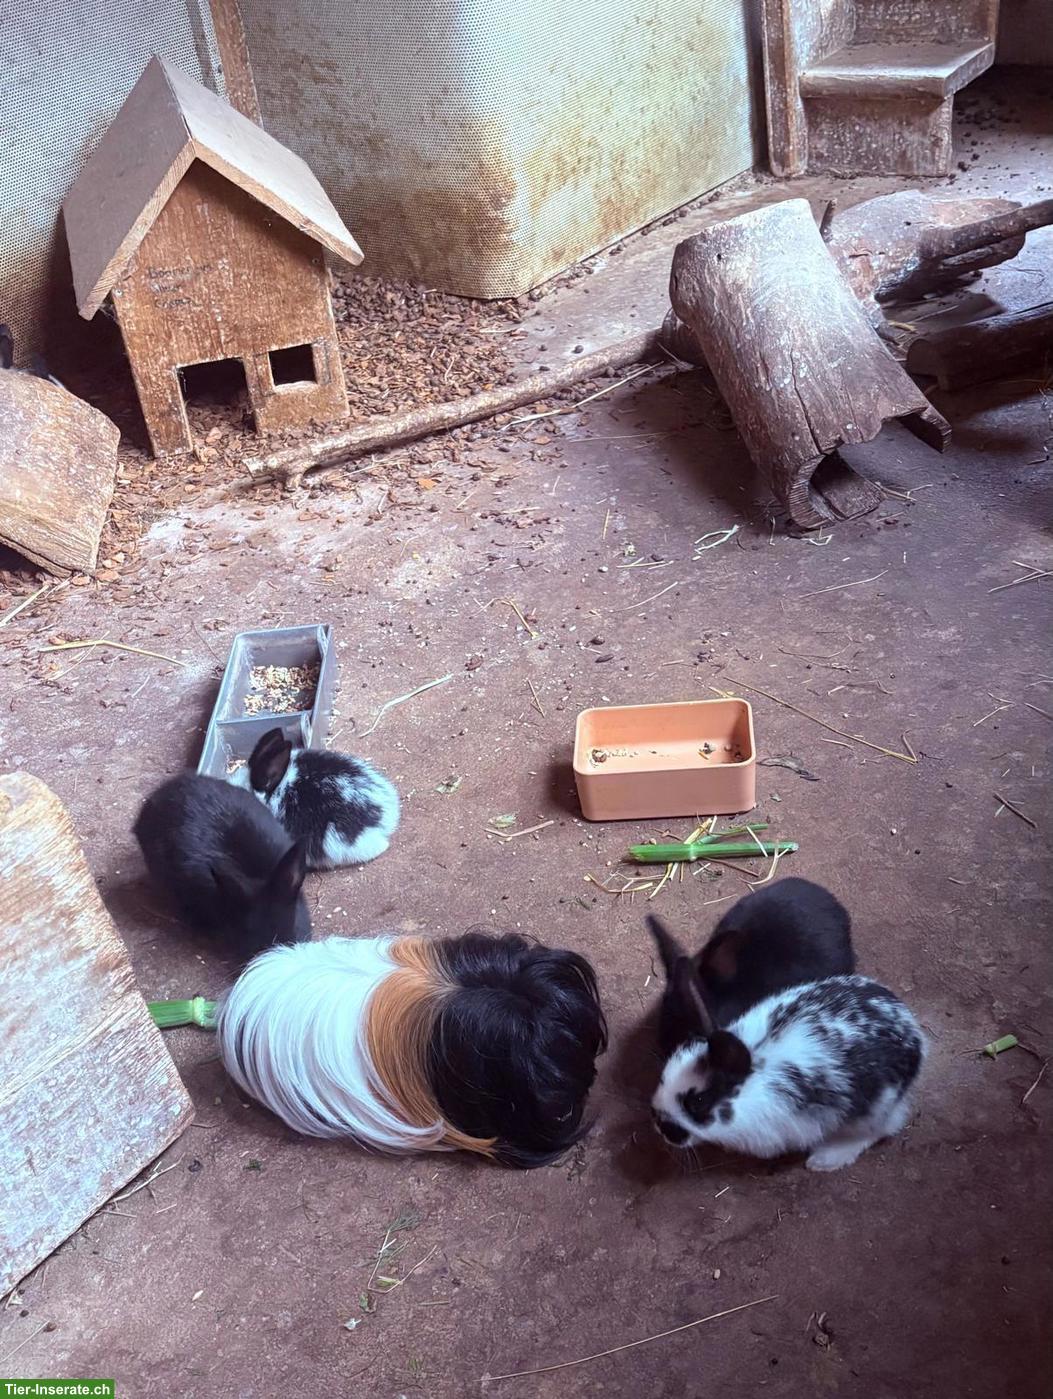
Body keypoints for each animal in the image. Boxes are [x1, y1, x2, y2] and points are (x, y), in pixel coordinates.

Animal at [650, 966, 926, 1172]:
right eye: (663, 1077)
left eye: (697, 1101)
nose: (660, 1127)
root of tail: (915, 1035)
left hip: (875, 1107)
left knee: (882, 1128)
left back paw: (824, 1160)